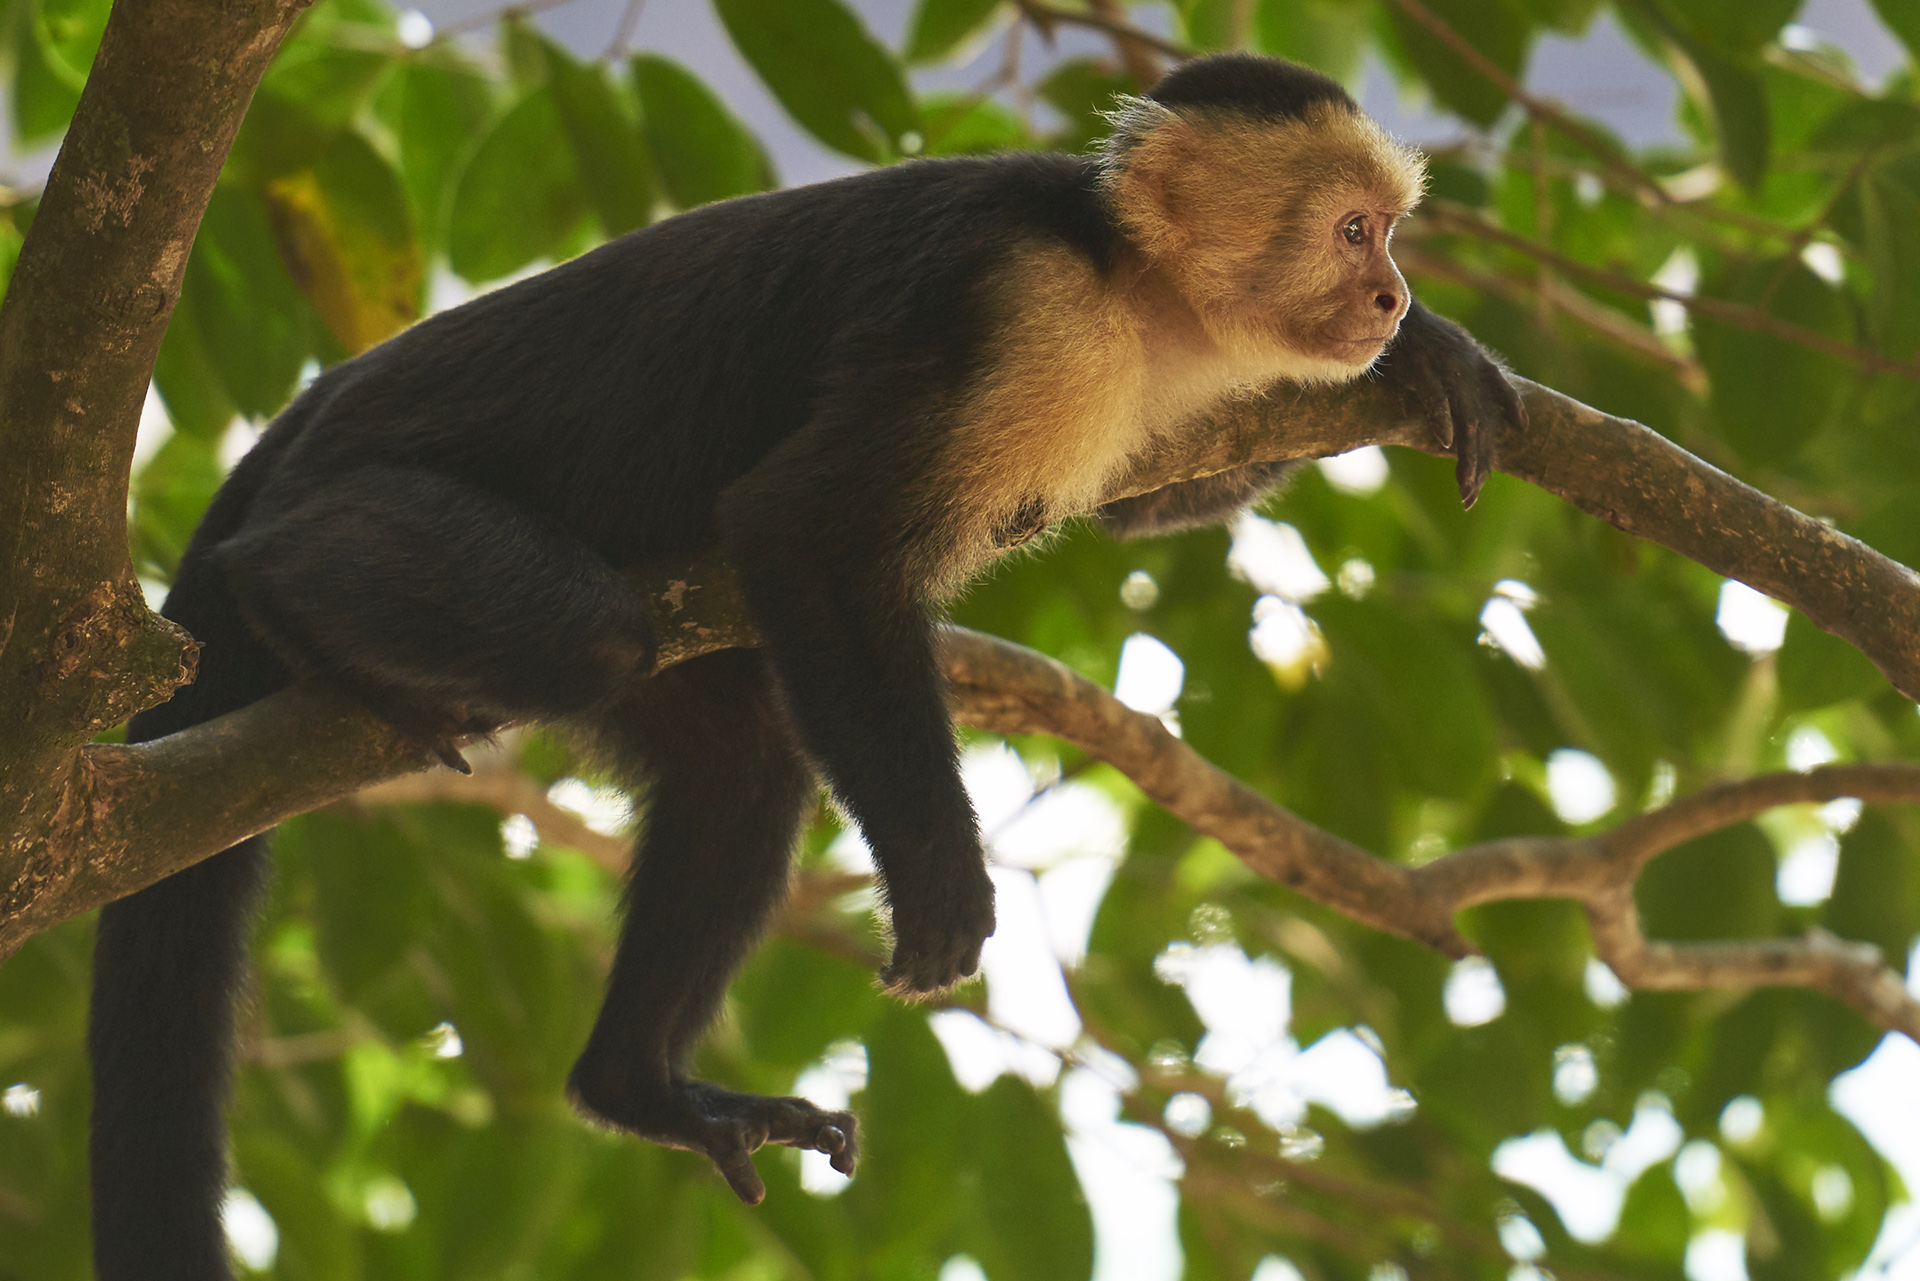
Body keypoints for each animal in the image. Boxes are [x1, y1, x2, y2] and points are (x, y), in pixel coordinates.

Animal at [90, 50, 1520, 1281]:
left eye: (1389, 237)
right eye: (1354, 231)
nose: (1391, 296)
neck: (1123, 277)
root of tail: (302, 420)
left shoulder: (1158, 390)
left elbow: (1148, 511)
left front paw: (1440, 357)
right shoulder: (1023, 314)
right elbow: (802, 533)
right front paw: (942, 879)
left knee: (742, 764)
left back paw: (640, 1089)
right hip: (371, 488)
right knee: (586, 626)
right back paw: (288, 600)